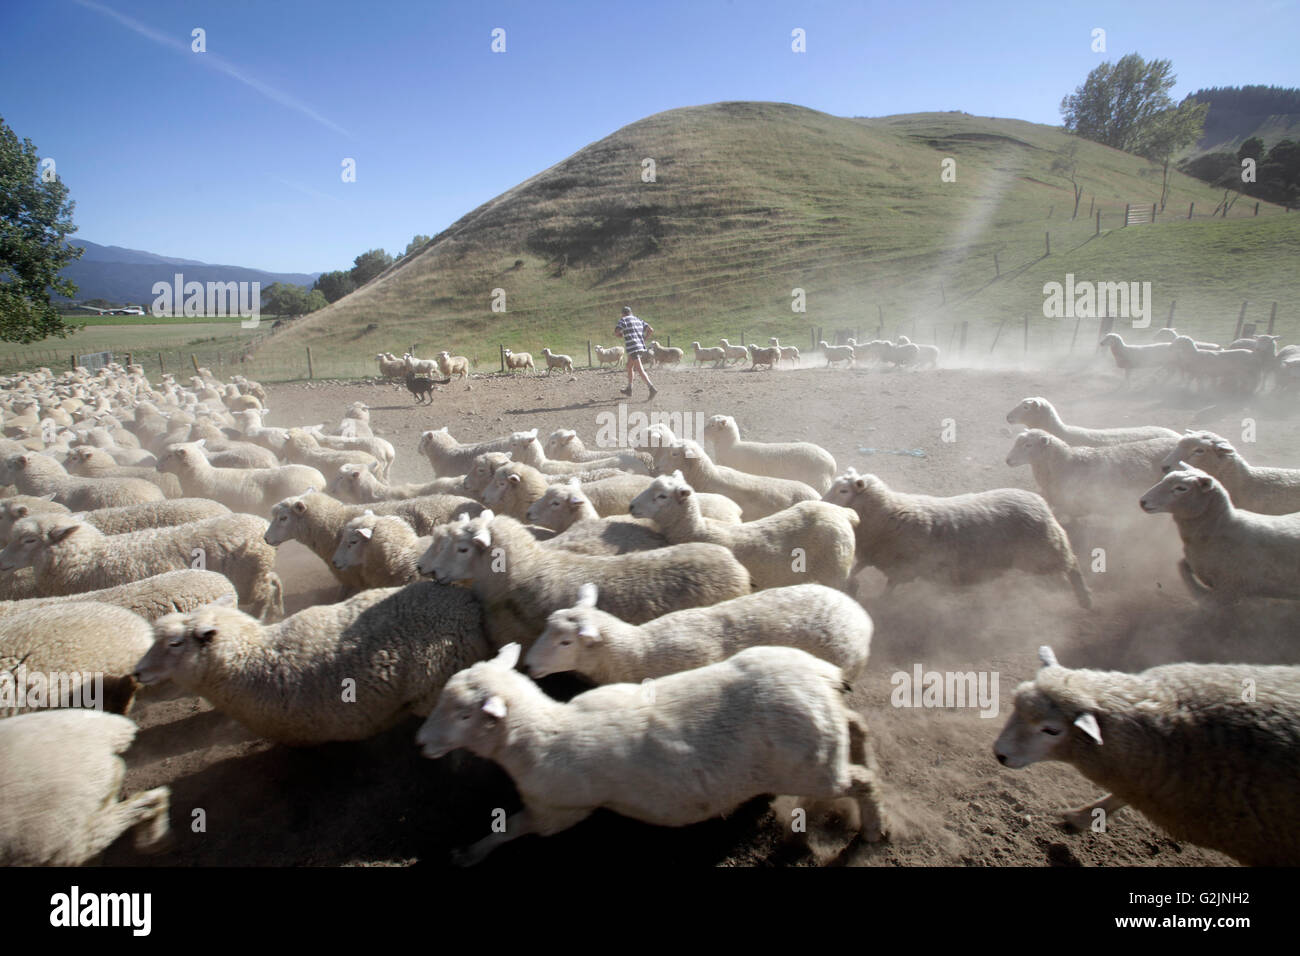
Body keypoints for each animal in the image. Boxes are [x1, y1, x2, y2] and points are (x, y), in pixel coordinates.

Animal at [0, 511, 284, 620]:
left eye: (29, 540)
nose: (2, 561)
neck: (89, 557)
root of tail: (259, 523)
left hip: (248, 581)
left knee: (266, 591)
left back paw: (262, 616)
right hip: (255, 575)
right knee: (273, 581)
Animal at [416, 642, 887, 865]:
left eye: (463, 715)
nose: (419, 743)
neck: (543, 733)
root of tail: (822, 676)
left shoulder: (557, 812)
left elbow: (509, 829)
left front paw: (468, 854)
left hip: (813, 768)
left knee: (861, 783)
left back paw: (874, 829)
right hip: (825, 735)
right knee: (857, 726)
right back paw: (868, 757)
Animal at [824, 468, 1092, 608]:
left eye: (843, 490)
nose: (820, 502)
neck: (888, 512)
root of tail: (1040, 502)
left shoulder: (903, 566)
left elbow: (889, 586)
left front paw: (881, 602)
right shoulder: (875, 554)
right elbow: (856, 570)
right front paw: (853, 586)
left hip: (1046, 548)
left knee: (1073, 564)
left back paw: (1084, 598)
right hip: (1041, 555)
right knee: (1063, 570)